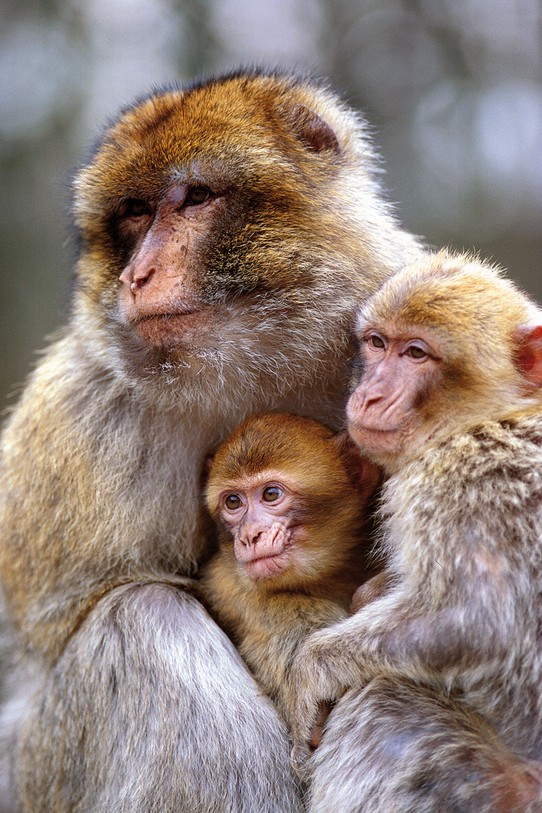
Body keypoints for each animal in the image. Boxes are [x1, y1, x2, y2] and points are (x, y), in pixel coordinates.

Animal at [289, 250, 542, 812]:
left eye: (417, 354)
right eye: (377, 343)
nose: (369, 395)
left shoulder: (466, 483)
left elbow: (477, 620)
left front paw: (313, 668)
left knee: (383, 699)